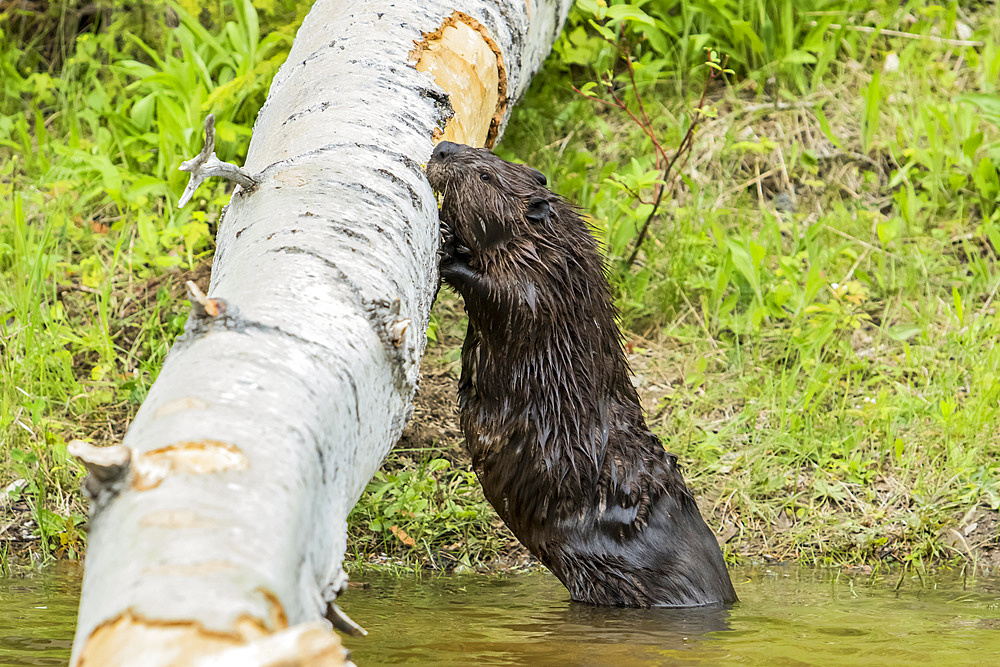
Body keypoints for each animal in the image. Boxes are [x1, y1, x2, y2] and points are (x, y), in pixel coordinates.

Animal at [426, 142, 740, 612]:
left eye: (484, 175)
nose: (443, 149)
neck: (551, 244)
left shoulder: (543, 285)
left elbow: (505, 298)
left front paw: (449, 248)